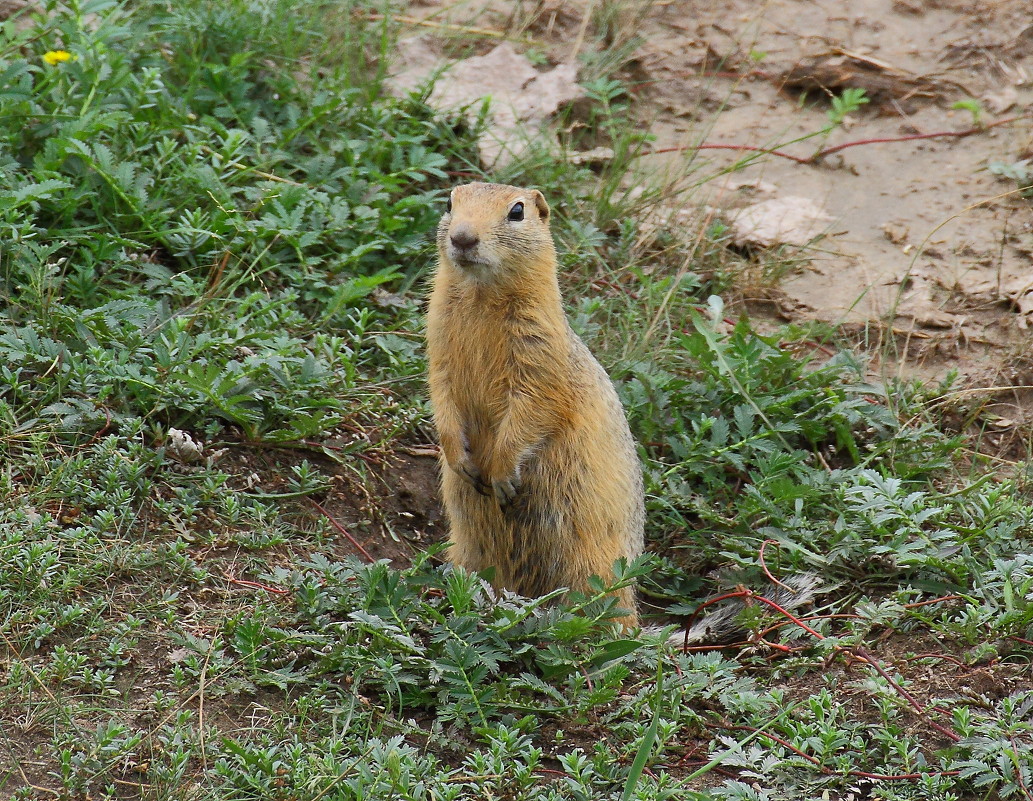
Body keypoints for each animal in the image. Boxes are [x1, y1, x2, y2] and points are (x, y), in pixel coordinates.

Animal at [423, 179, 640, 628]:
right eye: (449, 203)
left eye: (517, 211)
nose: (462, 238)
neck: (480, 297)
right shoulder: (438, 341)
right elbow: (442, 392)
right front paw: (459, 457)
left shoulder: (538, 351)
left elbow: (531, 408)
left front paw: (502, 474)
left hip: (593, 561)